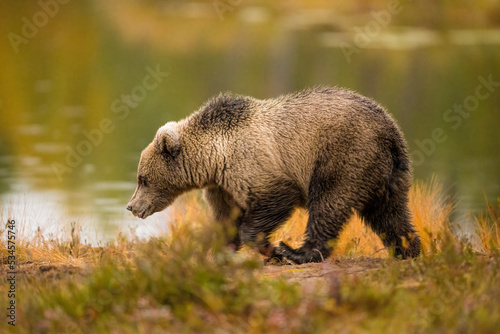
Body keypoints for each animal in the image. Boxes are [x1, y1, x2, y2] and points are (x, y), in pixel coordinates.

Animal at [127, 87, 420, 264]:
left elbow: (275, 198)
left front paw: (270, 248)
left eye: (142, 178)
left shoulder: (252, 164)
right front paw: (221, 250)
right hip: (384, 173)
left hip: (343, 157)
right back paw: (408, 249)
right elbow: (226, 218)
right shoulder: (222, 186)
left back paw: (298, 252)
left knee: (328, 204)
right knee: (390, 214)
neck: (213, 158)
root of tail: (391, 130)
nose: (131, 206)